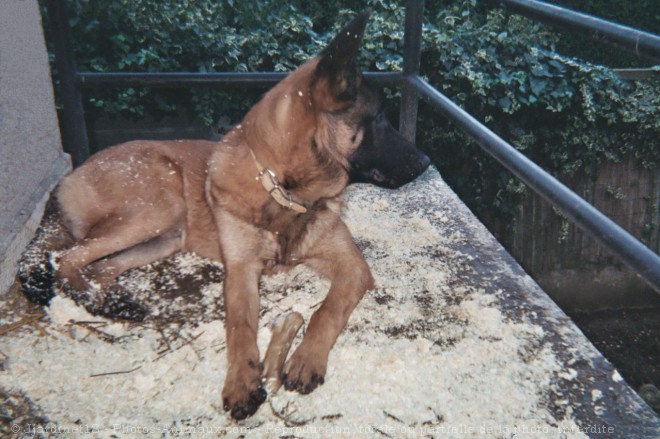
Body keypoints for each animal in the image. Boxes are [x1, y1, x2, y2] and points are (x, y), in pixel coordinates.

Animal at [54, 12, 430, 422]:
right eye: (378, 119)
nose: (427, 161)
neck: (282, 190)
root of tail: (72, 176)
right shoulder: (240, 271)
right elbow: (239, 326)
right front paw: (241, 381)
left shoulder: (352, 265)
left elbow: (326, 310)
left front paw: (306, 359)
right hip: (158, 207)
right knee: (67, 259)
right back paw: (92, 298)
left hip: (164, 237)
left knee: (102, 267)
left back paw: (113, 304)